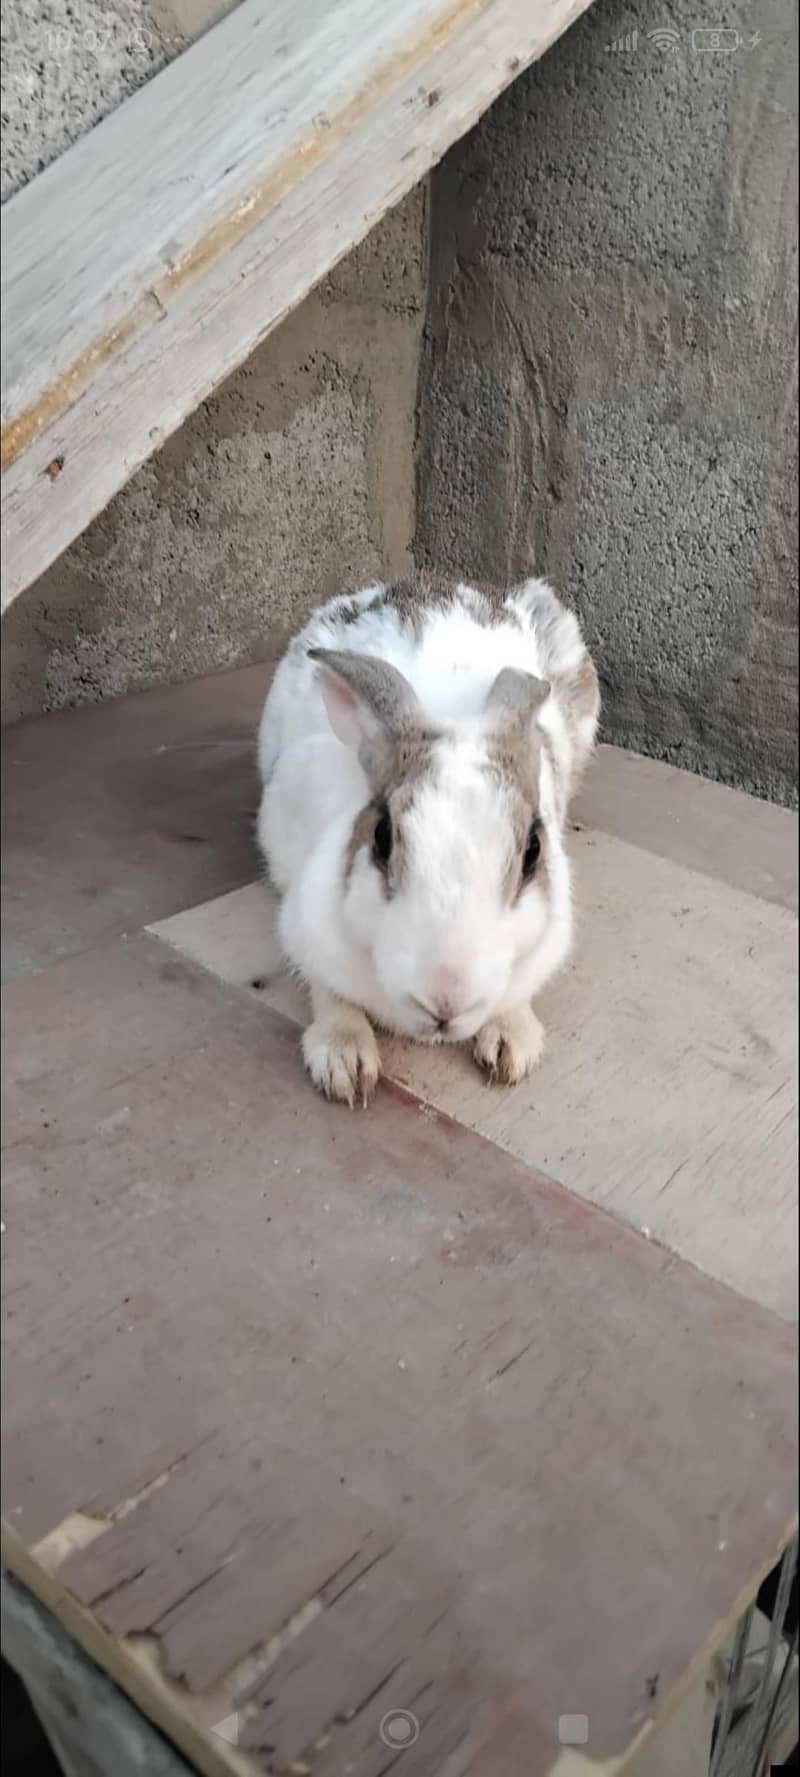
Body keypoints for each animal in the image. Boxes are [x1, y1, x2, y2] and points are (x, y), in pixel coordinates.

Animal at [257, 571, 600, 1105]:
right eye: (382, 838)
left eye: (533, 852)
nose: (447, 999)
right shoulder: (304, 922)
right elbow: (328, 992)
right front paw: (345, 1063)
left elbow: (516, 998)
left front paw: (512, 1047)